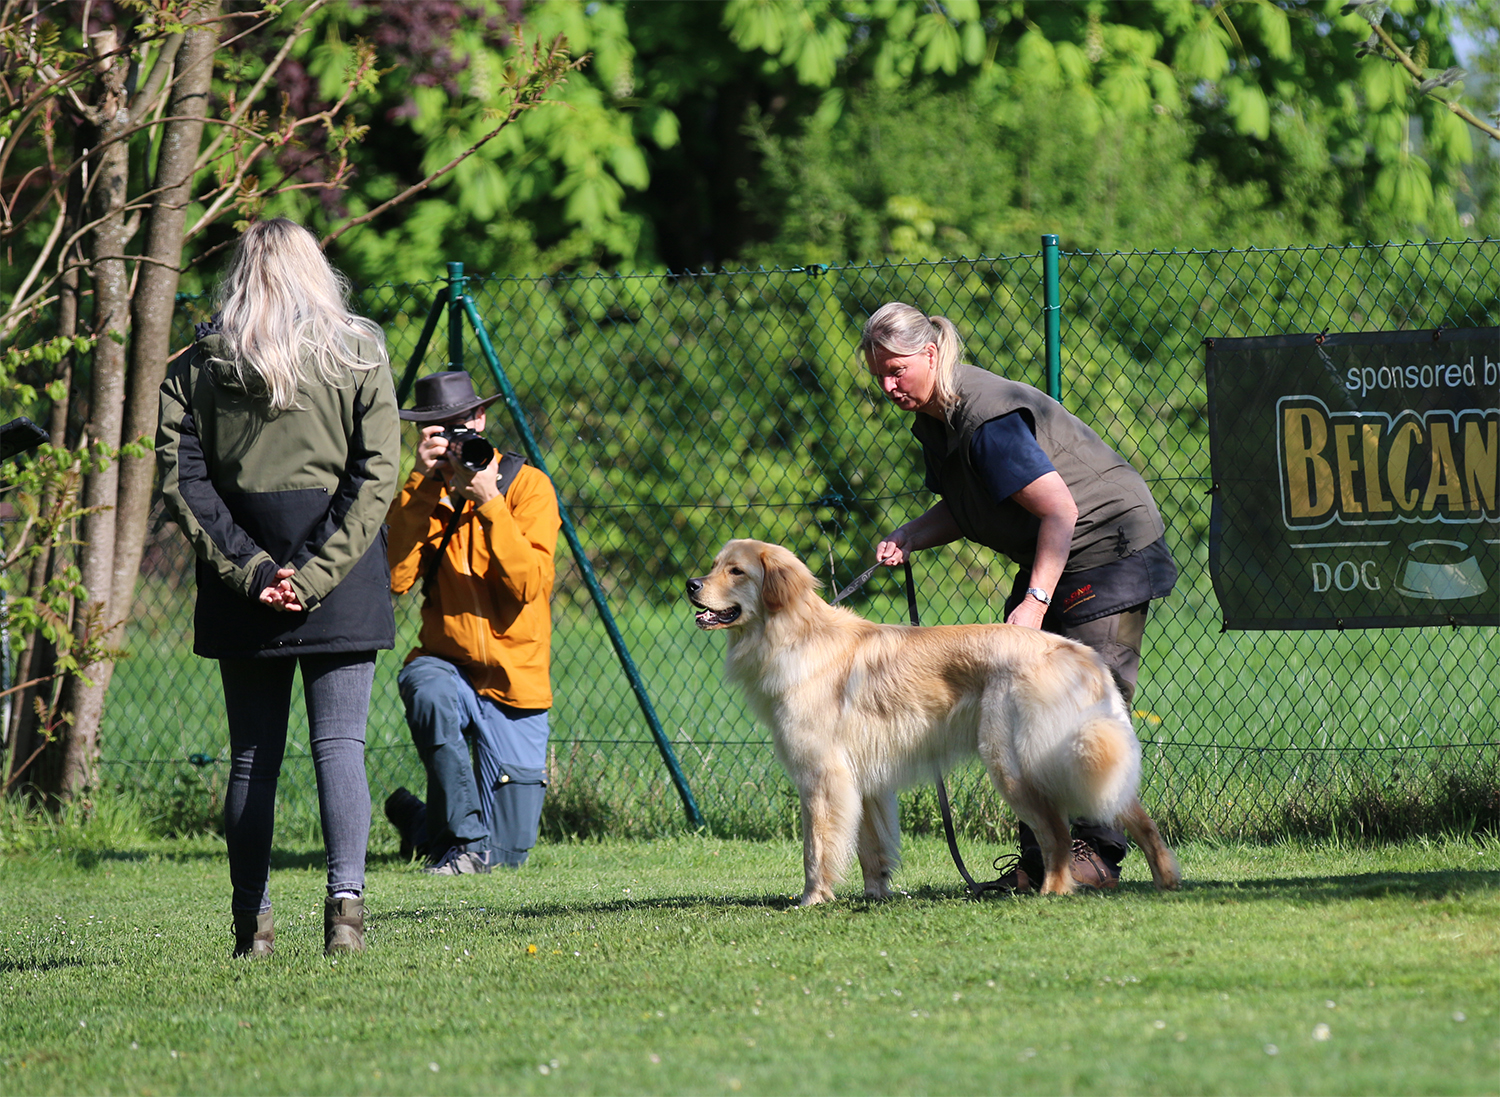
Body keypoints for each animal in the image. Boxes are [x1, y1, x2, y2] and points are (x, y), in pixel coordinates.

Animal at [687, 539, 1180, 905]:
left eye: (736, 572)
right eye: (714, 566)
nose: (691, 584)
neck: (793, 635)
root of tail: (1079, 654)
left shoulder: (822, 777)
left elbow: (816, 849)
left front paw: (812, 898)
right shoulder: (865, 783)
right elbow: (872, 850)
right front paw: (876, 894)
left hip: (1014, 765)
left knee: (1057, 834)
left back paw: (1053, 891)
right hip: (1084, 758)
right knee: (1136, 817)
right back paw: (1166, 881)